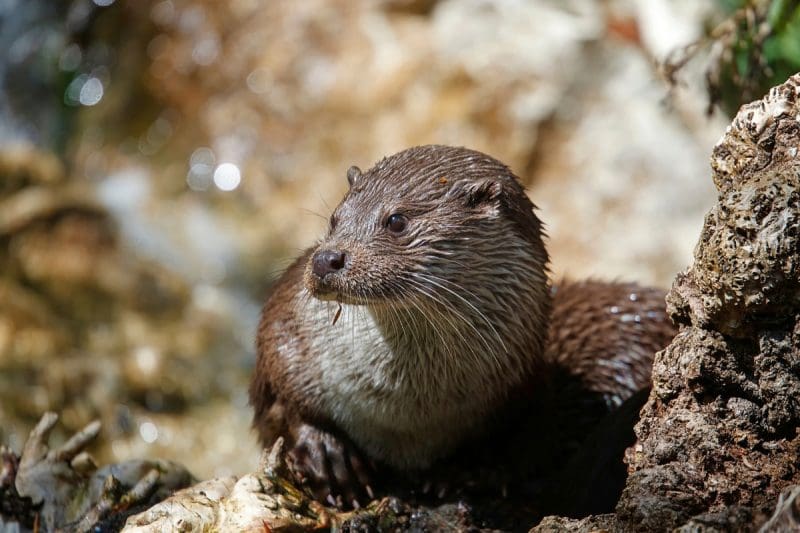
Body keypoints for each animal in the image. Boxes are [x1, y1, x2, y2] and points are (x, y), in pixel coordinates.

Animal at [250, 145, 675, 511]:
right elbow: (281, 399)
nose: (327, 259)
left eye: (397, 220)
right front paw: (327, 451)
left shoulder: (525, 392)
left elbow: (528, 445)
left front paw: (465, 472)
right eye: (335, 219)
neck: (404, 417)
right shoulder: (286, 333)